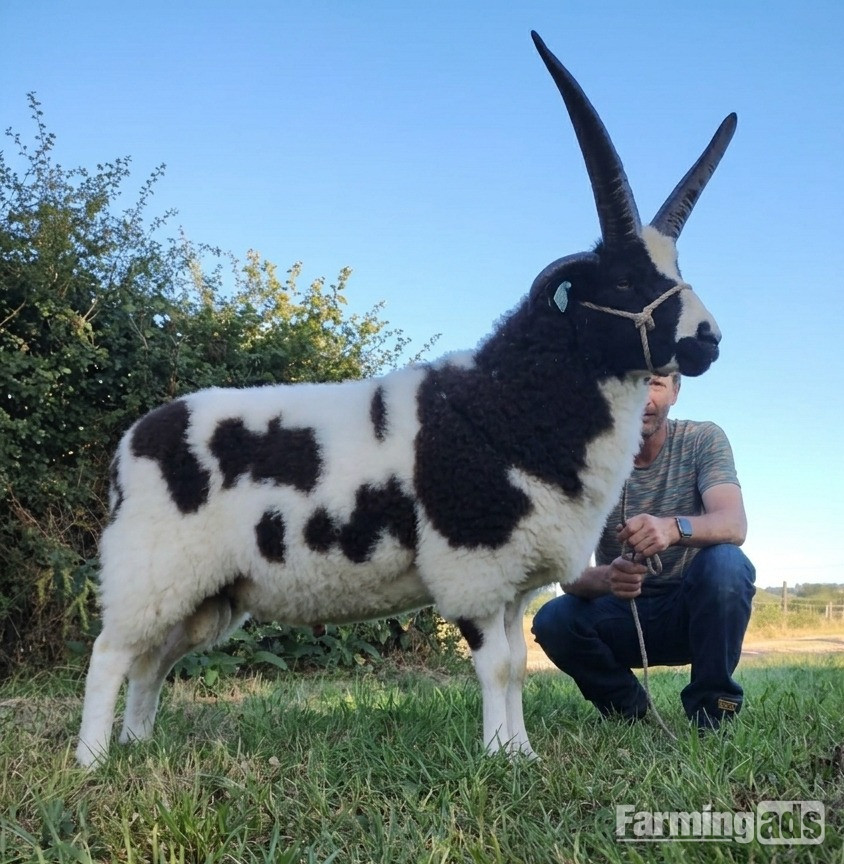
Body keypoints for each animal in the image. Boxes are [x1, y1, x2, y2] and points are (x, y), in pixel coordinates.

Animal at [76, 31, 736, 767]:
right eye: (622, 281)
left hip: (205, 594)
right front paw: (500, 759)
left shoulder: (512, 577)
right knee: (109, 655)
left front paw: (523, 755)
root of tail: (131, 445)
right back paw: (92, 761)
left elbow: (516, 667)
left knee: (152, 662)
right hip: (148, 572)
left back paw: (136, 744)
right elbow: (497, 666)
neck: (508, 401)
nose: (708, 340)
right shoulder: (471, 565)